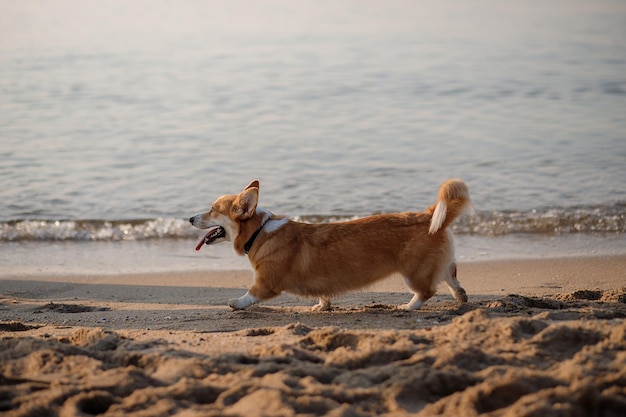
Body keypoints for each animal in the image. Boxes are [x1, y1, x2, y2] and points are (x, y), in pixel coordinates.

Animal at [188, 177, 470, 310]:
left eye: (212, 210)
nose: (189, 218)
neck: (259, 232)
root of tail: (429, 215)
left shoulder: (267, 282)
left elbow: (251, 293)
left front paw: (236, 303)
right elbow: (323, 294)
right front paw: (322, 306)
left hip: (413, 273)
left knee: (426, 291)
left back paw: (409, 306)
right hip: (438, 265)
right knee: (451, 275)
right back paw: (461, 296)